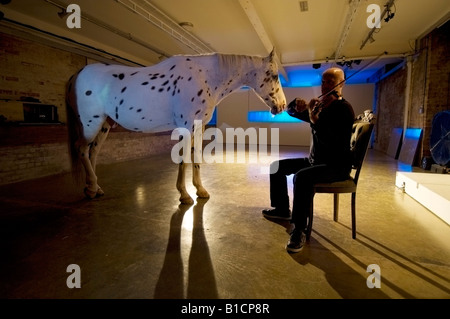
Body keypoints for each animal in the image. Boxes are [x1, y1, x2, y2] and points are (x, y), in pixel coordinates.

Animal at [65, 50, 286, 205]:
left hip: (104, 125)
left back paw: (95, 187)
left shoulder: (199, 128)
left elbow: (196, 158)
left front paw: (200, 191)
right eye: (275, 75)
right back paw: (91, 189)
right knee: (82, 149)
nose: (282, 106)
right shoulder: (186, 127)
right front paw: (185, 195)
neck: (205, 76)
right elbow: (184, 160)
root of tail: (77, 74)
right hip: (90, 124)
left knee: (93, 152)